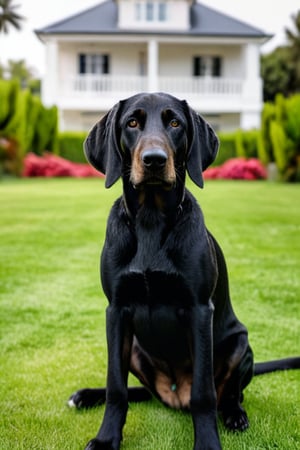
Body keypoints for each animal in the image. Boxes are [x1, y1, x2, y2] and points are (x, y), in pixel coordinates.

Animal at [68, 93, 300, 448]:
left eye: (175, 123)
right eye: (132, 123)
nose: (154, 160)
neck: (151, 220)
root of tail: (175, 395)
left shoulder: (198, 310)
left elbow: (204, 394)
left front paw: (207, 442)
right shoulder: (116, 311)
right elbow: (117, 388)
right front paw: (107, 438)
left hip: (239, 343)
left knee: (230, 394)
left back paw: (234, 414)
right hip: (135, 349)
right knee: (139, 392)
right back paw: (86, 395)